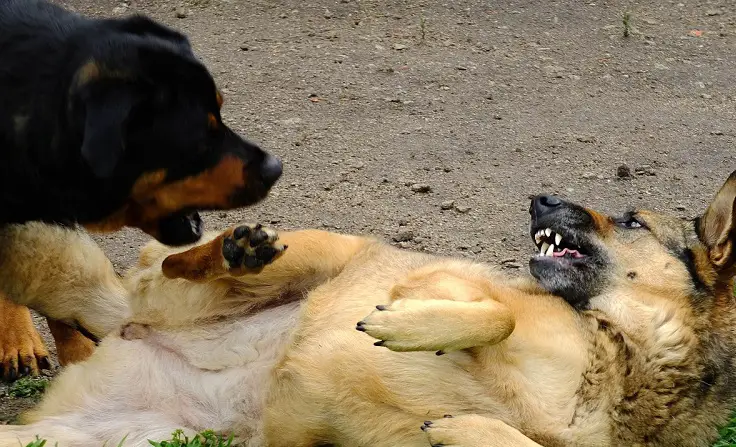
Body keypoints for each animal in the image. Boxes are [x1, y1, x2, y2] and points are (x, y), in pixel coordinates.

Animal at [1, 172, 736, 447]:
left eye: (631, 220)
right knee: (183, 264)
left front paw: (464, 426)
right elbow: (493, 313)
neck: (624, 360)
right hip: (312, 250)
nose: (539, 199)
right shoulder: (455, 278)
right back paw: (237, 249)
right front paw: (404, 324)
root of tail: (126, 327)